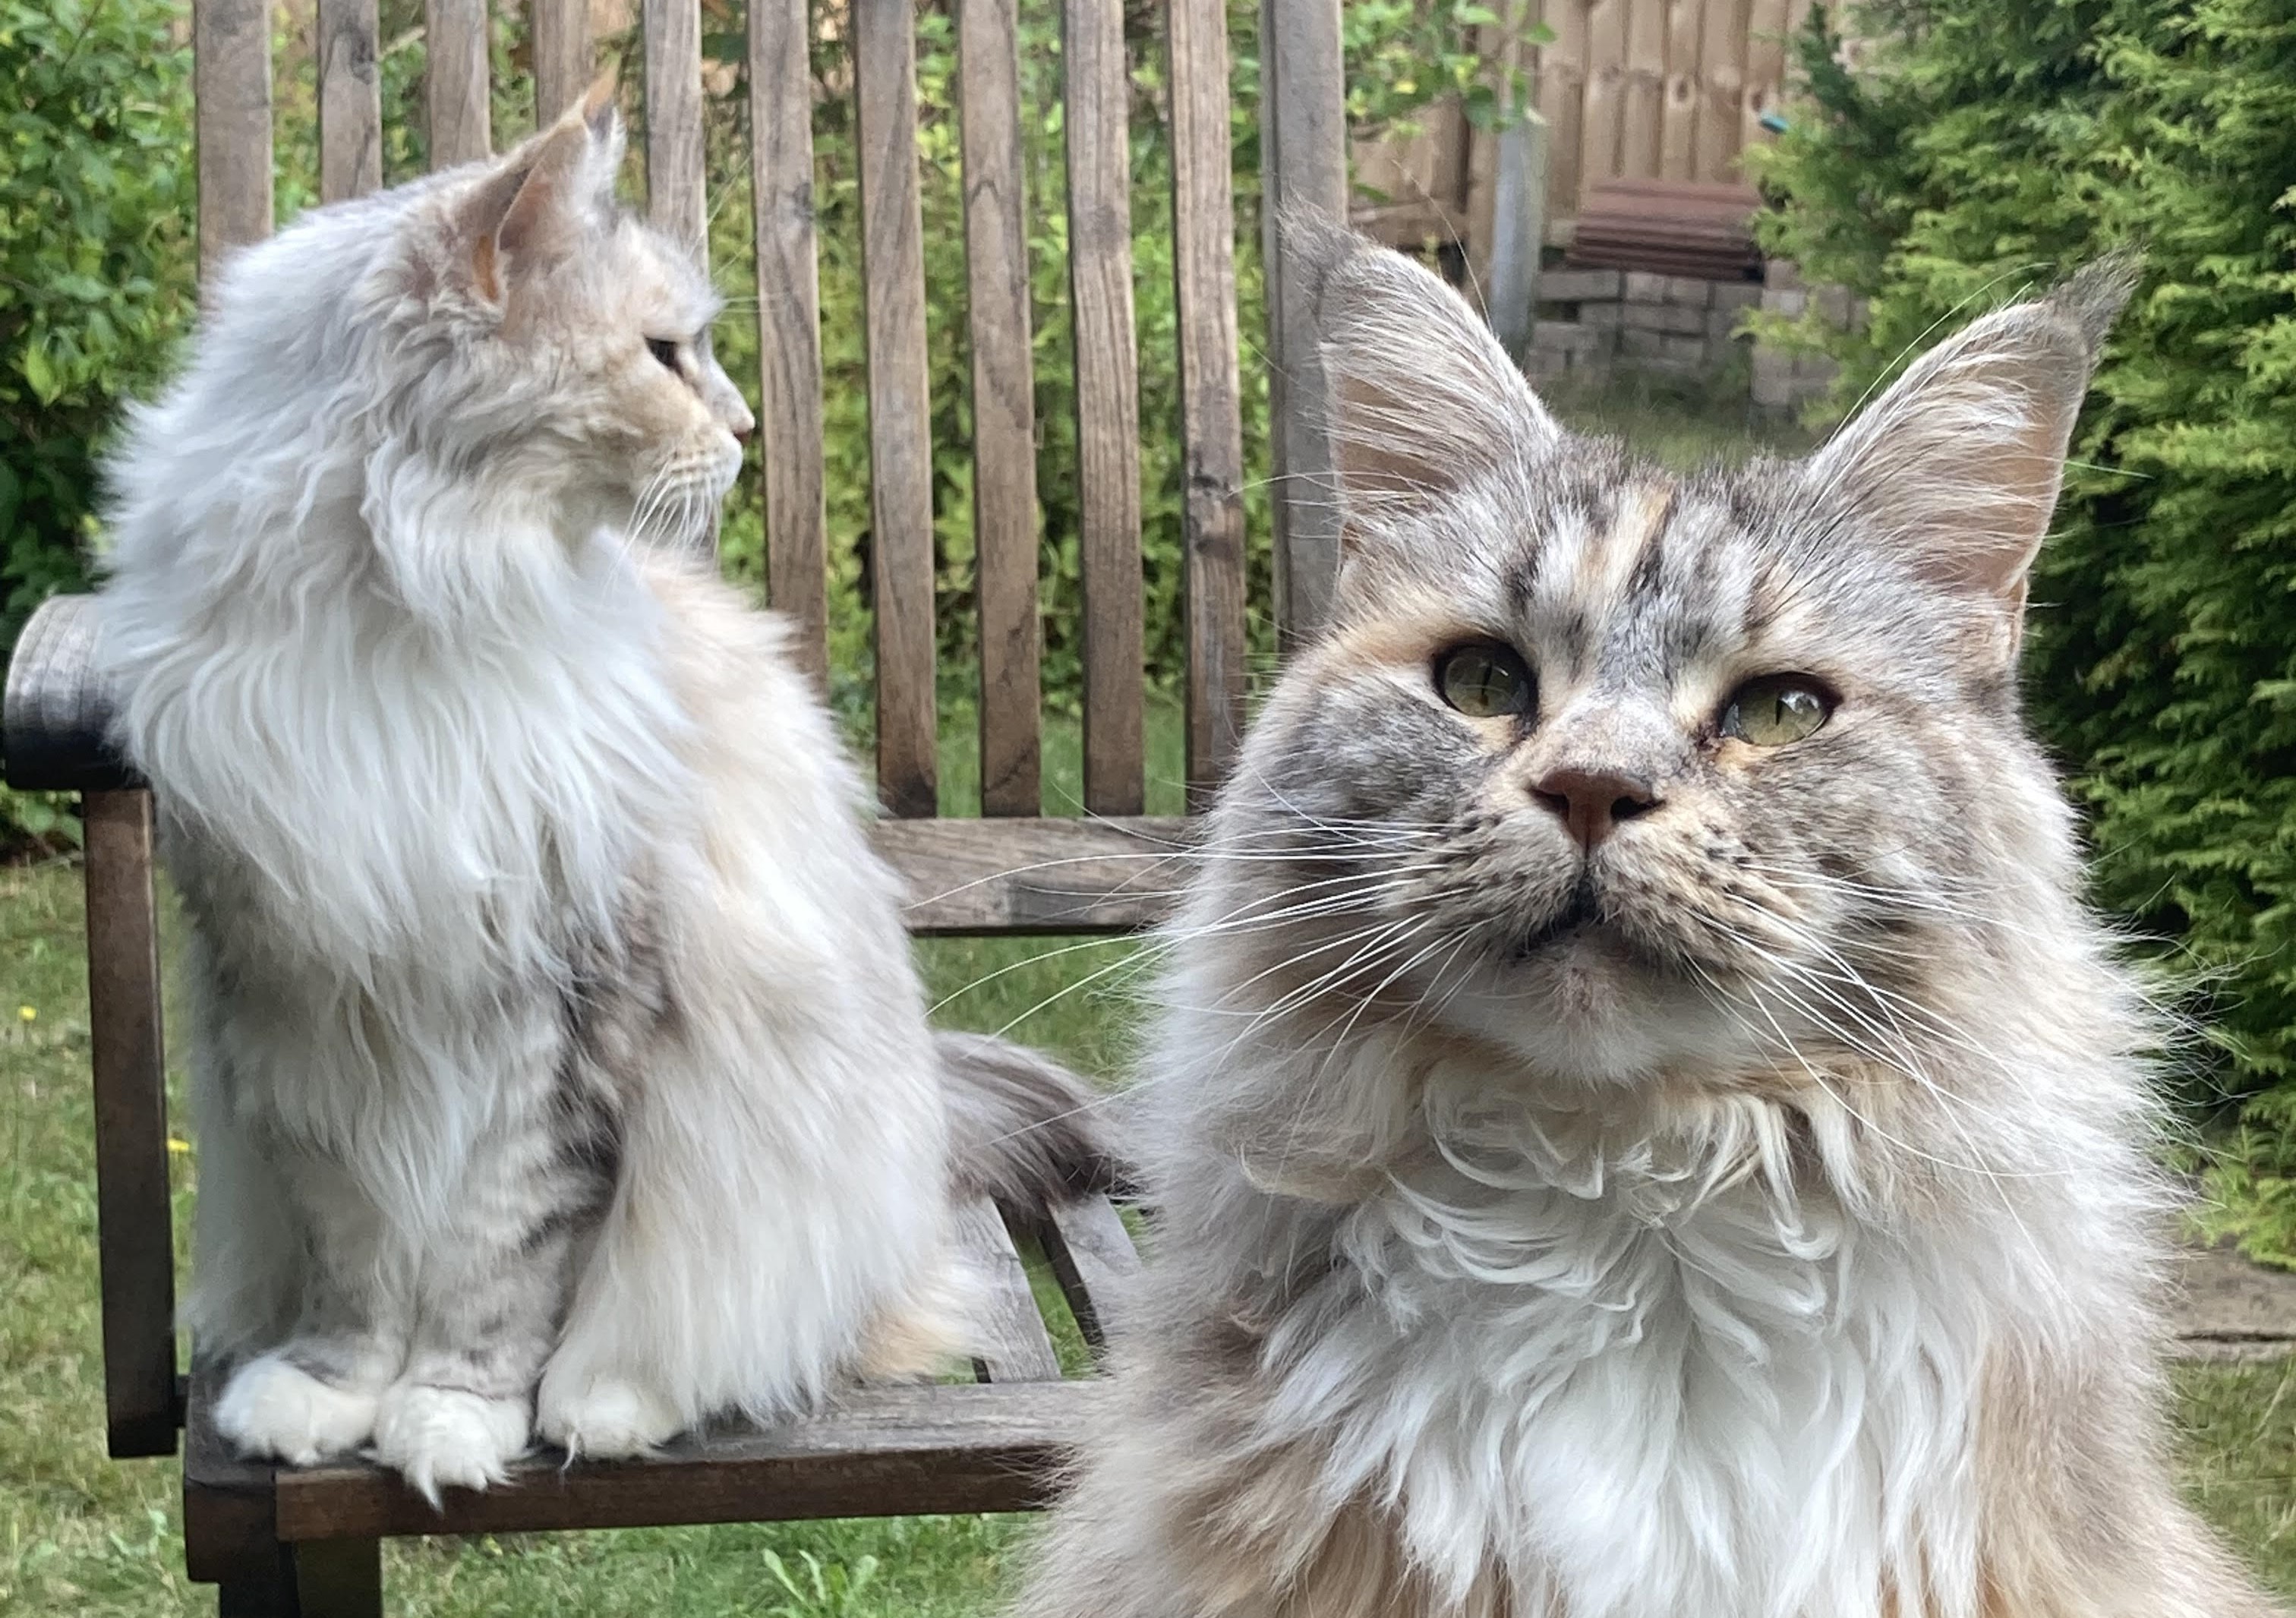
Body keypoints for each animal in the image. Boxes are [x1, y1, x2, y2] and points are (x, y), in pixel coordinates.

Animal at [103, 88, 1106, 1505]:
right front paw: (331, 1396)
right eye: (664, 354)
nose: (745, 431)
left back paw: (614, 1404)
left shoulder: (567, 1009)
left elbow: (500, 1264)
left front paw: (454, 1416)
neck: (413, 613)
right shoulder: (308, 998)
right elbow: (356, 1253)